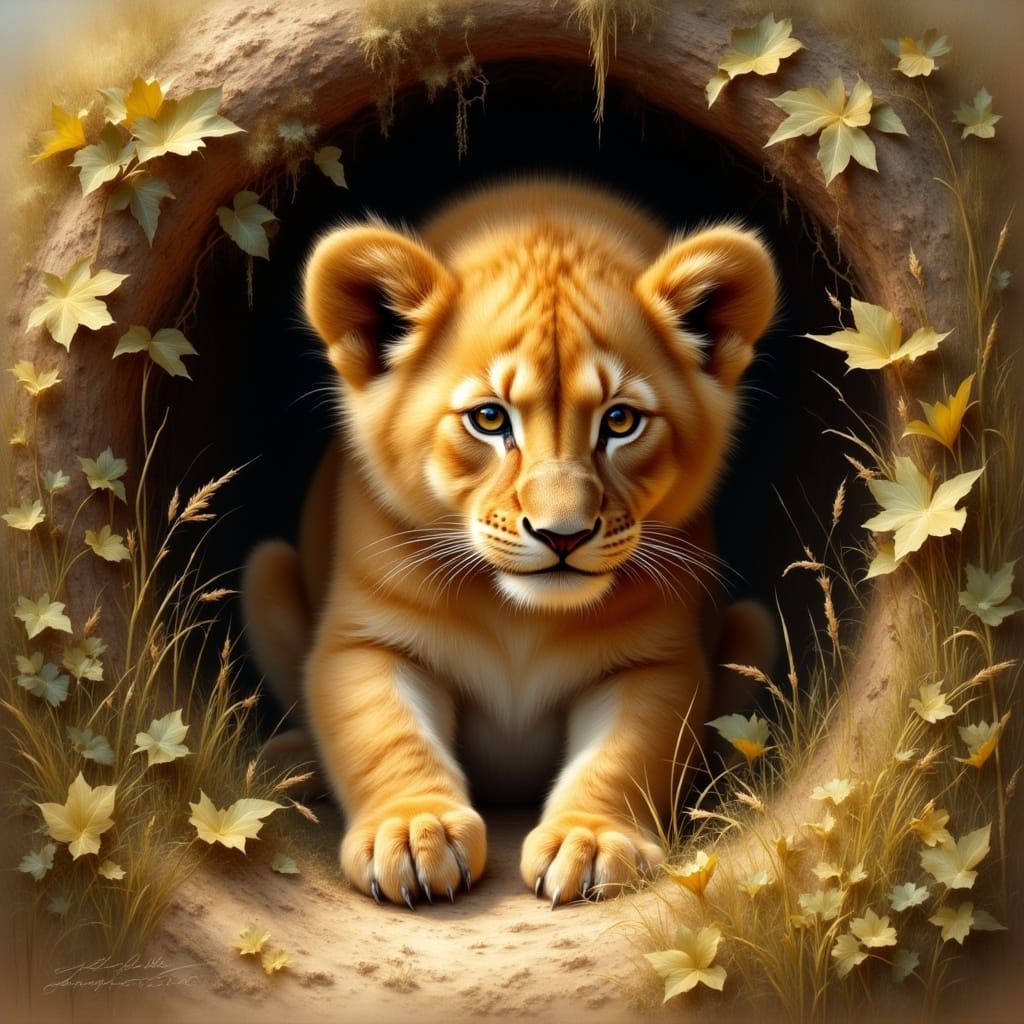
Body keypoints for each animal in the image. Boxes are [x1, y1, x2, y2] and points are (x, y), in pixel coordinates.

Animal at [242, 180, 777, 908]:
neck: (518, 615)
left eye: (621, 421)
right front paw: (412, 833)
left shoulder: (654, 661)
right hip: (264, 571)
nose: (562, 534)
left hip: (753, 627)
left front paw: (591, 841)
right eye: (490, 419)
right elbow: (385, 733)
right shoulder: (365, 638)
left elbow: (627, 753)